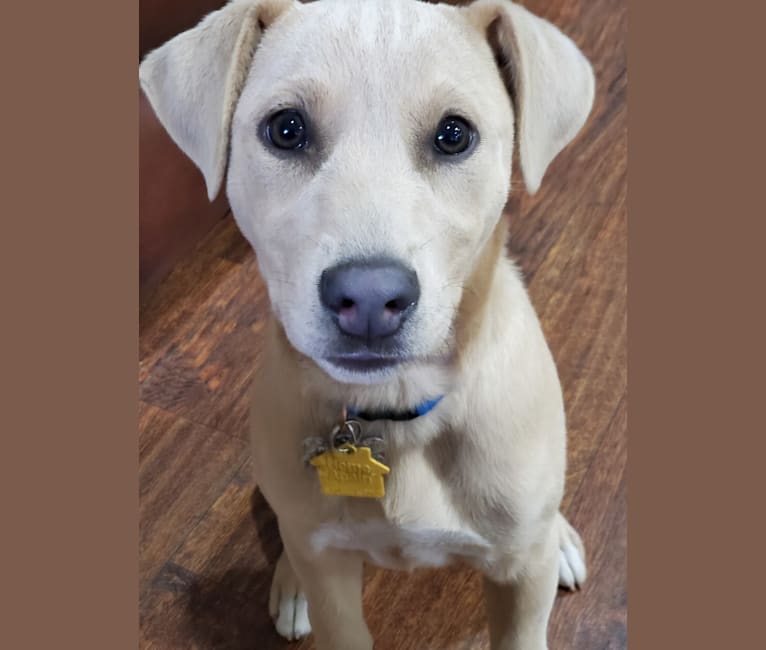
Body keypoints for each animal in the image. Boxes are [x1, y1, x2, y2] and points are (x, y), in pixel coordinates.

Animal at [141, 2, 596, 644]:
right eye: (286, 129)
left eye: (454, 134)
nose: (370, 299)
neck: (396, 410)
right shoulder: (332, 580)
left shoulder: (519, 583)